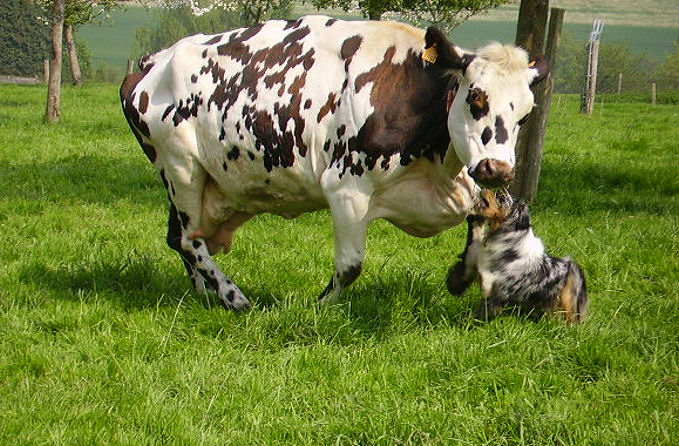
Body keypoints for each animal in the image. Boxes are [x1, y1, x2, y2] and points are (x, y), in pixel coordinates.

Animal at [119, 14, 548, 310]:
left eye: (526, 115)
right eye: (476, 98)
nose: (498, 170)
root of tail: (153, 61)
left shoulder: (470, 188)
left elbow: (479, 227)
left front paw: (459, 277)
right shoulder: (346, 188)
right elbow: (351, 265)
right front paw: (320, 306)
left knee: (180, 238)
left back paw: (207, 296)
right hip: (180, 168)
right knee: (189, 241)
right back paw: (234, 298)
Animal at [456, 190, 588, 322]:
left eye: (501, 198)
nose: (485, 189)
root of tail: (570, 265)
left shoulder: (496, 294)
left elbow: (478, 316)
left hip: (567, 303)